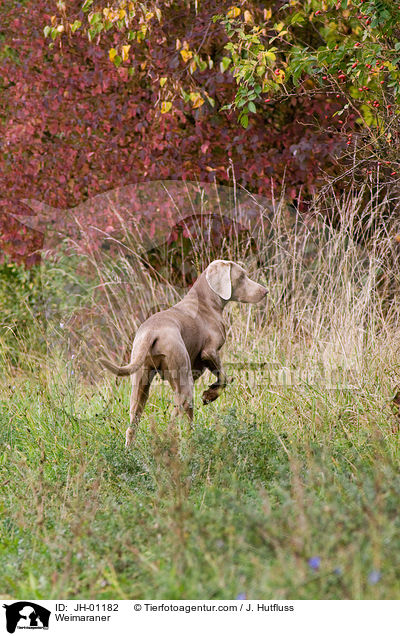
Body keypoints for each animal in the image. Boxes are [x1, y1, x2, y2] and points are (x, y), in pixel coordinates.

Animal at [99, 260, 268, 448]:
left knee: (135, 421)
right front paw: (209, 395)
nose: (265, 291)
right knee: (176, 416)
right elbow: (224, 378)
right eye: (242, 276)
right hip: (182, 377)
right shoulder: (209, 352)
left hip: (141, 381)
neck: (206, 301)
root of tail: (151, 332)